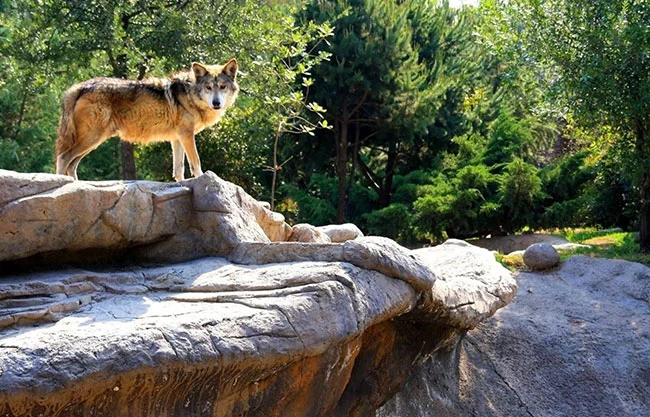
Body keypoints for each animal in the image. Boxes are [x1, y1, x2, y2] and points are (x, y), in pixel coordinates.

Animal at [55, 59, 239, 181]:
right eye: (208, 87)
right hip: (92, 139)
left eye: (222, 87)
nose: (216, 103)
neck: (190, 95)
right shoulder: (187, 135)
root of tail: (79, 87)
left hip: (92, 142)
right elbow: (196, 163)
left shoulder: (177, 138)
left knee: (71, 164)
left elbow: (179, 169)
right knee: (63, 158)